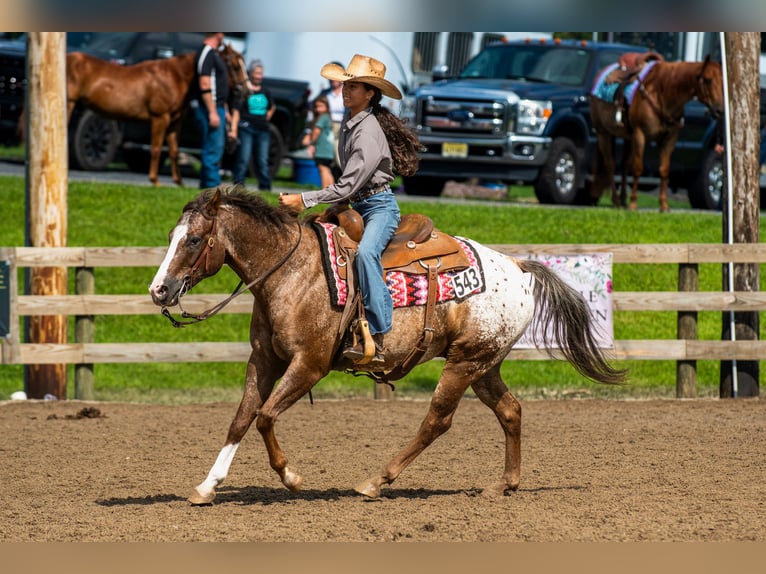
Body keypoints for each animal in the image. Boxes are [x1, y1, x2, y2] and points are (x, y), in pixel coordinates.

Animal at [64, 44, 248, 187]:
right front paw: (154, 180)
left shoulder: (174, 121)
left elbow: (174, 150)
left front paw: (179, 182)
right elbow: (156, 148)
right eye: (235, 66)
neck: (174, 77)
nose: (246, 90)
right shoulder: (160, 117)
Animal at [148, 185, 626, 504]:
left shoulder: (309, 364)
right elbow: (241, 419)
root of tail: (517, 267)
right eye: (170, 236)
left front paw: (291, 477)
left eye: (194, 239)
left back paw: (376, 481)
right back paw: (503, 484)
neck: (292, 272)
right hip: (484, 363)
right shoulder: (263, 360)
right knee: (510, 410)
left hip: (463, 363)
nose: (159, 290)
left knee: (437, 420)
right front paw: (207, 486)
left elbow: (265, 417)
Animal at [589, 56, 724, 212]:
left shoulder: (669, 139)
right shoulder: (640, 135)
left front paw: (664, 206)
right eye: (707, 80)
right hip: (603, 133)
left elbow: (664, 170)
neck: (662, 94)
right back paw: (616, 201)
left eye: (722, 81)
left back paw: (623, 200)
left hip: (628, 138)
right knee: (610, 165)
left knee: (624, 166)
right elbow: (638, 168)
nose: (720, 110)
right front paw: (633, 203)